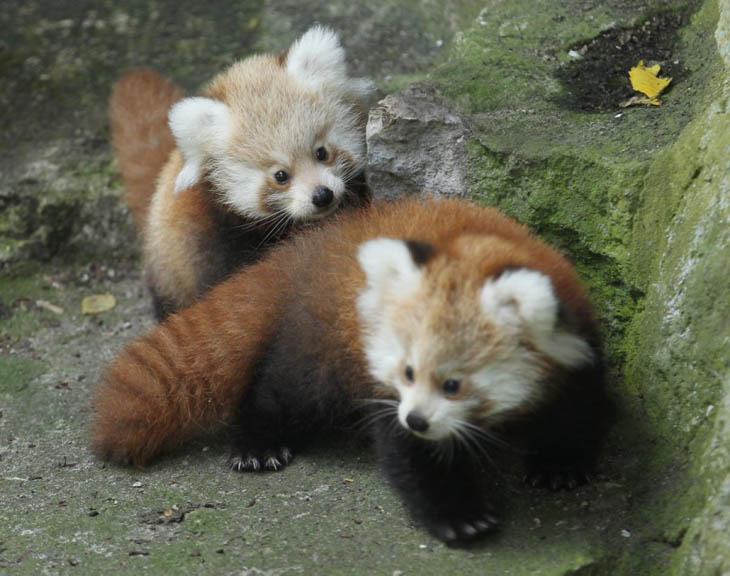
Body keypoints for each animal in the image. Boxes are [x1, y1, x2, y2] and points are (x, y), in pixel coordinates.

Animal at [92, 197, 616, 540]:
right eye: (407, 373)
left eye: (453, 384)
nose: (417, 419)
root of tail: (303, 251)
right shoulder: (384, 389)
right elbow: (412, 456)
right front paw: (457, 515)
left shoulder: (579, 343)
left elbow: (577, 410)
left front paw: (560, 465)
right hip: (321, 349)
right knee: (281, 392)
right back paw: (258, 445)